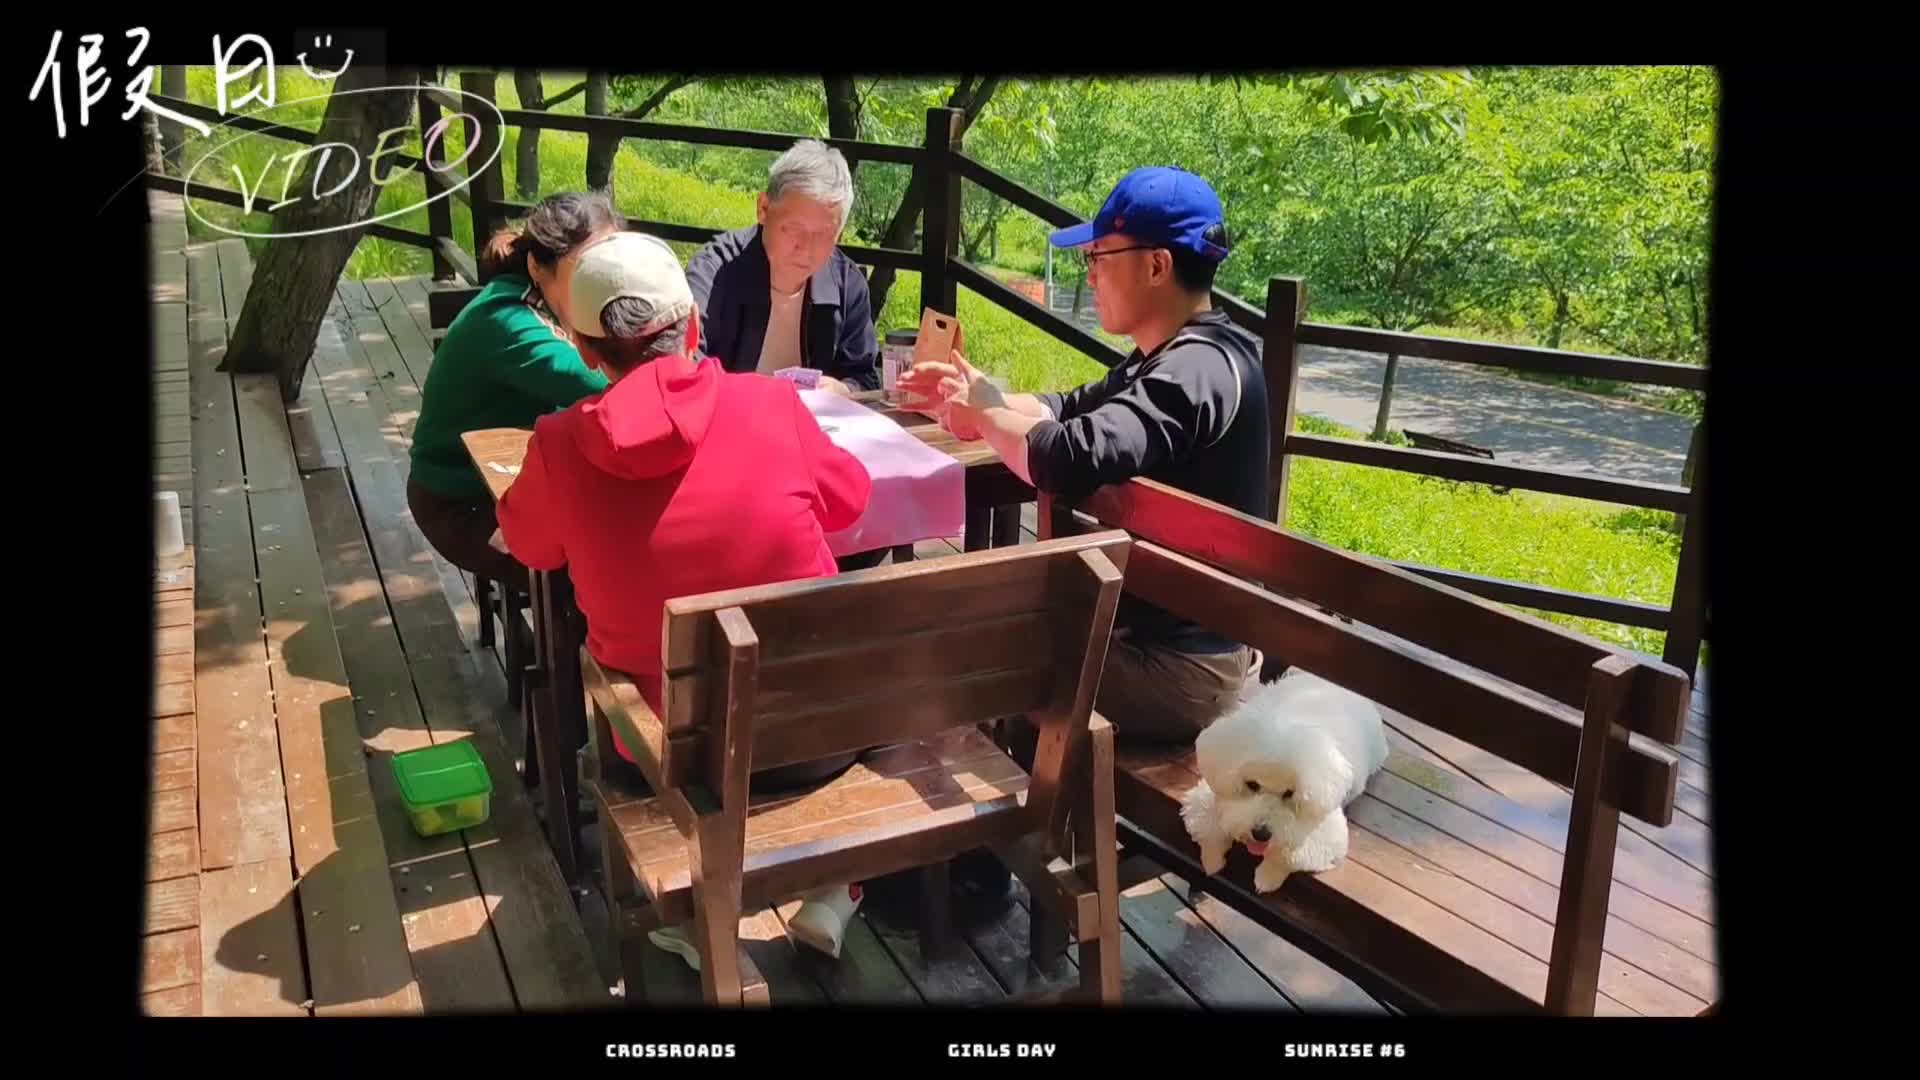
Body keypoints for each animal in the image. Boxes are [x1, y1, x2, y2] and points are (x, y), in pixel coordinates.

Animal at [1180, 670, 1388, 894]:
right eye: (1252, 785)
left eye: (1290, 793)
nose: (1261, 834)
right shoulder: (1208, 796)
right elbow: (1210, 828)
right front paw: (1212, 860)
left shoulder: (1328, 834)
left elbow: (1289, 854)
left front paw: (1266, 878)